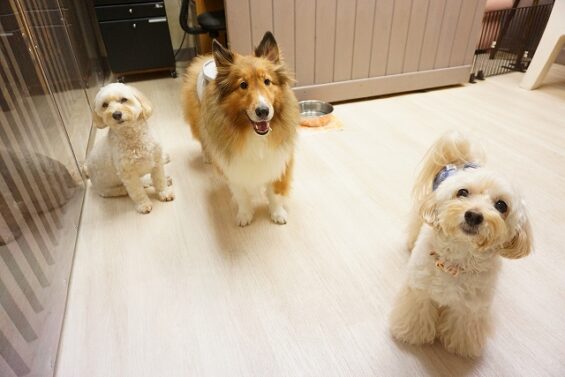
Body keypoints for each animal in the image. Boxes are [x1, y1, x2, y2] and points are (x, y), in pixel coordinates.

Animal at [84, 82, 174, 213]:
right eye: (105, 105)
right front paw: (144, 204)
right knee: (132, 187)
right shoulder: (128, 175)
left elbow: (159, 180)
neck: (133, 136)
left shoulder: (156, 162)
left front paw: (164, 192)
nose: (116, 114)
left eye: (124, 100)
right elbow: (137, 192)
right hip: (110, 190)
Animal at [182, 32, 300, 225]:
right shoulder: (234, 169)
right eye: (243, 85)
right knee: (204, 142)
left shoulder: (279, 161)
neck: (254, 134)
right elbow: (242, 195)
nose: (263, 111)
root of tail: (205, 59)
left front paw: (278, 214)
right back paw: (207, 157)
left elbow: (275, 193)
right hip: (199, 122)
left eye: (267, 81)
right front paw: (244, 216)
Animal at [390, 131, 532, 356]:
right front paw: (411, 334)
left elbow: (463, 328)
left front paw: (461, 347)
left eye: (501, 205)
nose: (474, 215)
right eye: (462, 192)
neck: (457, 260)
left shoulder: (470, 309)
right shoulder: (419, 292)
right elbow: (415, 315)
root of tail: (462, 161)